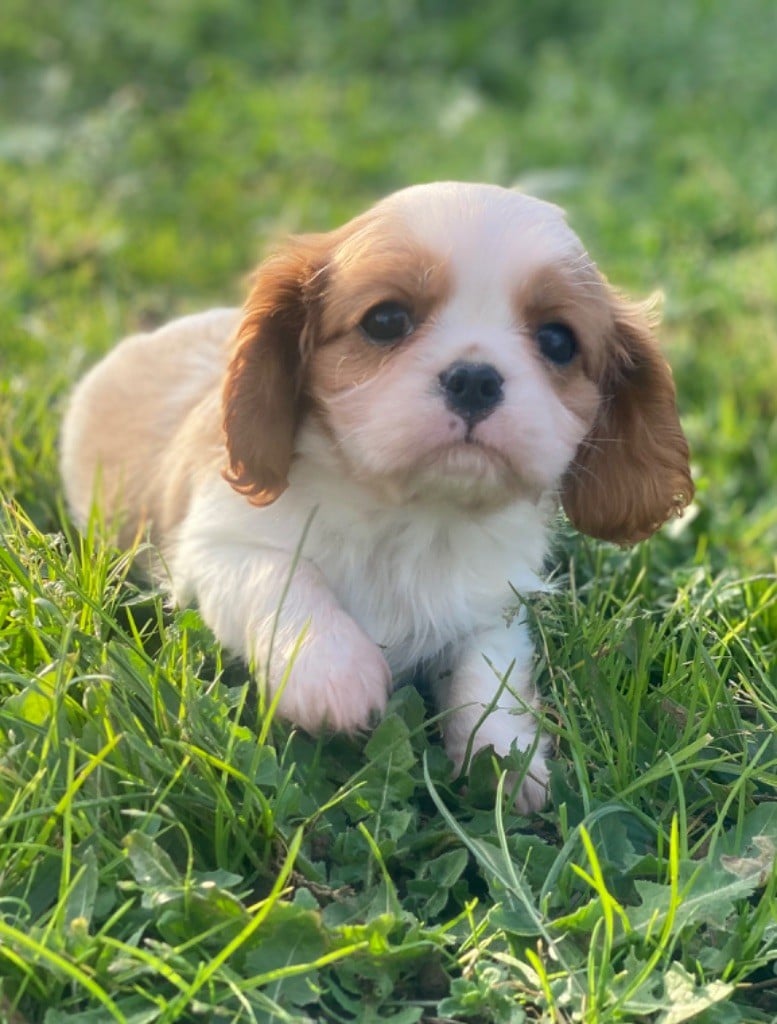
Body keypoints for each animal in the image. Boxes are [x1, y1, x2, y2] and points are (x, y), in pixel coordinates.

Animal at [60, 182, 692, 806]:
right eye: (386, 320)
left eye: (558, 341)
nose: (474, 379)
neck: (412, 514)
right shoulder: (214, 549)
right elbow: (284, 576)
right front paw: (330, 669)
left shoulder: (493, 603)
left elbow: (489, 673)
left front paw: (505, 760)